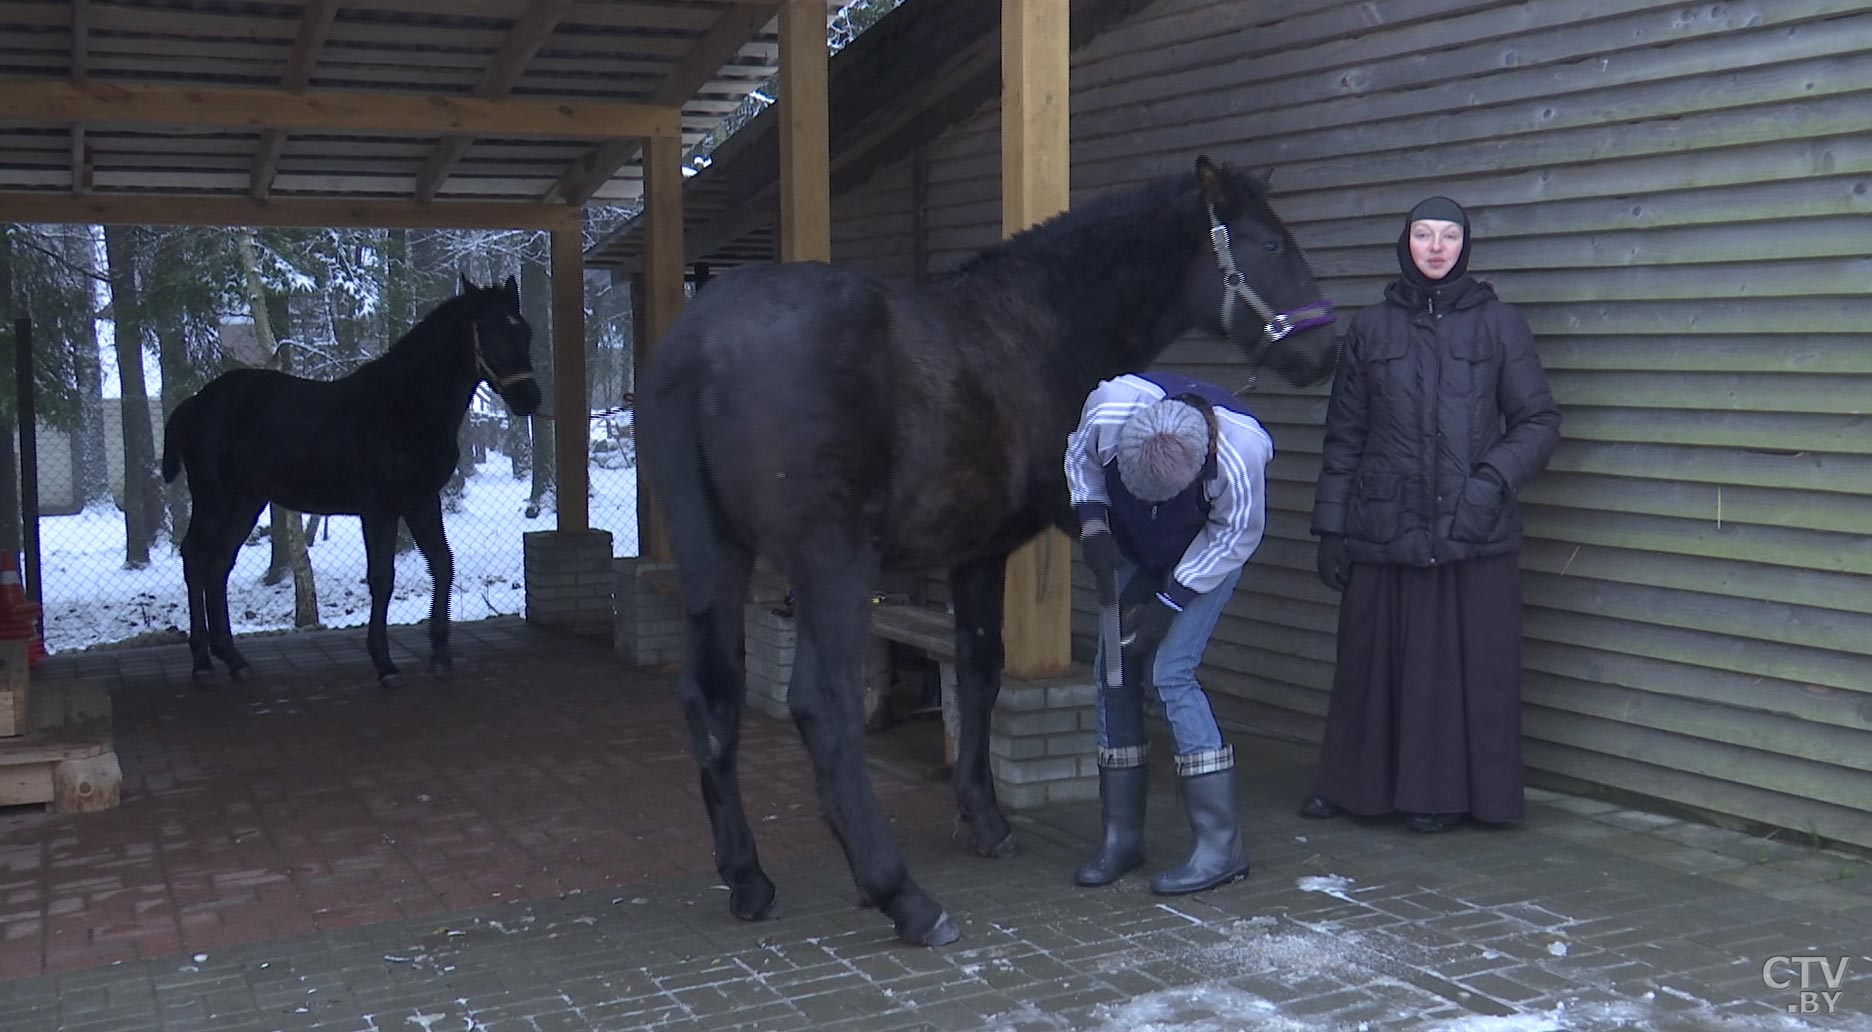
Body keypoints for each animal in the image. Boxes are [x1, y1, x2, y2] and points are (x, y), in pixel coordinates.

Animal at [160, 277, 542, 685]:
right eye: (491, 331)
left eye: (525, 331)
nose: (529, 399)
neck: (404, 408)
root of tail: (194, 404)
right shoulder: (378, 509)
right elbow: (382, 578)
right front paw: (384, 662)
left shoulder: (422, 501)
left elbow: (442, 563)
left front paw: (440, 653)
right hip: (215, 500)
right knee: (195, 557)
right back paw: (202, 662)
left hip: (245, 503)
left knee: (218, 565)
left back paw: (233, 659)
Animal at [636, 153, 1340, 943]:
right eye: (1271, 244)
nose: (1326, 348)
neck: (1044, 326)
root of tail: (700, 351)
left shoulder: (974, 552)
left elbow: (978, 670)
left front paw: (984, 817)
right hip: (832, 564)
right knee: (821, 705)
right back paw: (903, 897)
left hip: (714, 555)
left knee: (711, 698)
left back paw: (750, 880)